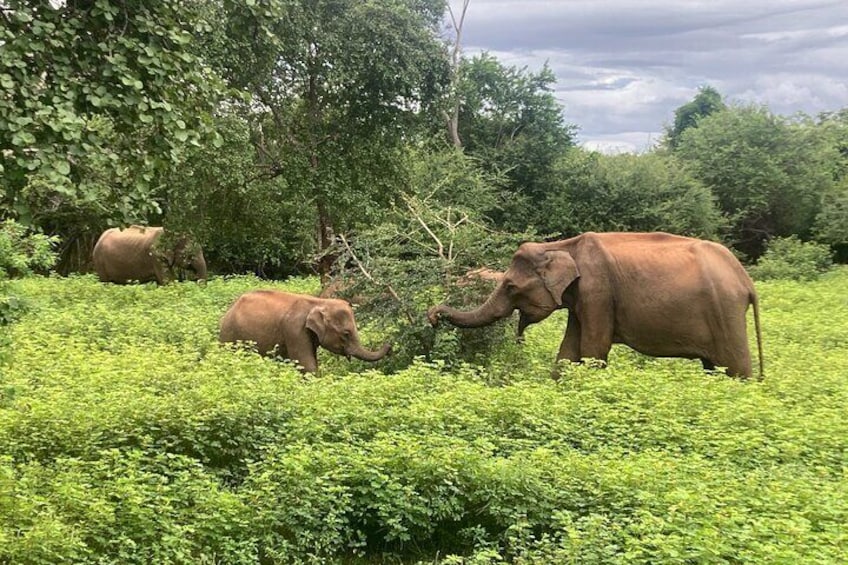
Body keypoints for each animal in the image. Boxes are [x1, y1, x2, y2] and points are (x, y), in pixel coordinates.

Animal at [219, 288, 390, 372]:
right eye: (346, 333)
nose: (390, 345)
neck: (318, 301)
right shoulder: (295, 330)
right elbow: (306, 364)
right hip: (229, 335)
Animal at [428, 229, 764, 378]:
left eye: (510, 286)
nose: (432, 316)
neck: (563, 245)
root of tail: (746, 281)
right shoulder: (581, 299)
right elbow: (568, 350)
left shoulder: (597, 292)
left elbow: (592, 349)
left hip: (726, 312)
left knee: (735, 367)